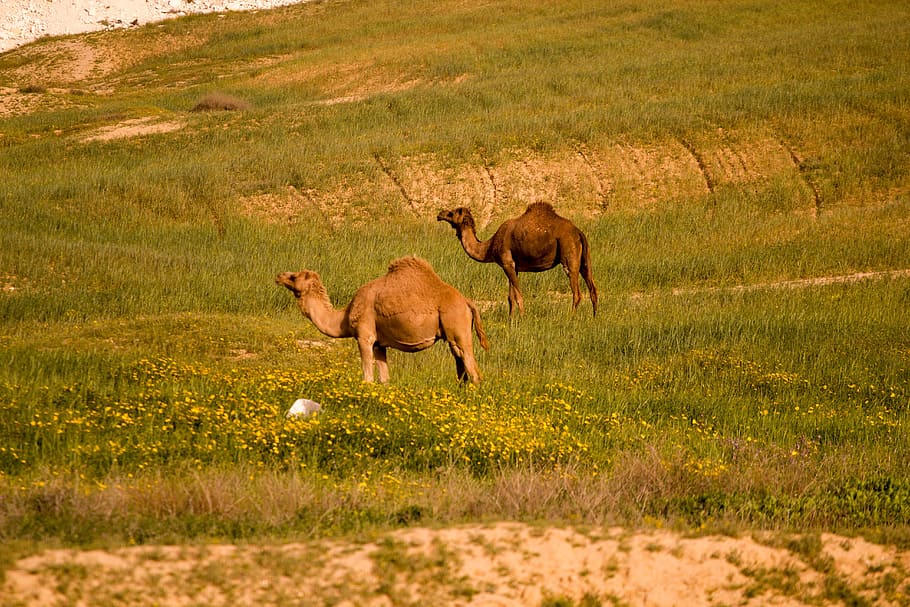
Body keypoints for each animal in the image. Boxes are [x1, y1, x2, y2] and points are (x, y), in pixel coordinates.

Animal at [276, 256, 490, 384]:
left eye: (293, 276)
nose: (279, 276)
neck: (344, 317)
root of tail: (466, 301)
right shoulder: (380, 344)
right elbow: (385, 379)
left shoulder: (365, 336)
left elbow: (368, 378)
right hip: (452, 334)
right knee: (461, 365)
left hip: (457, 325)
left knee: (473, 370)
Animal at [437, 202, 598, 316]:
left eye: (451, 213)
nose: (439, 214)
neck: (490, 246)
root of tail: (578, 232)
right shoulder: (513, 267)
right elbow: (510, 297)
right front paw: (510, 320)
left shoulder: (507, 262)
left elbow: (518, 296)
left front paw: (521, 319)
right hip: (585, 260)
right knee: (593, 288)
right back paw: (594, 318)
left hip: (568, 254)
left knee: (577, 293)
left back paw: (571, 318)